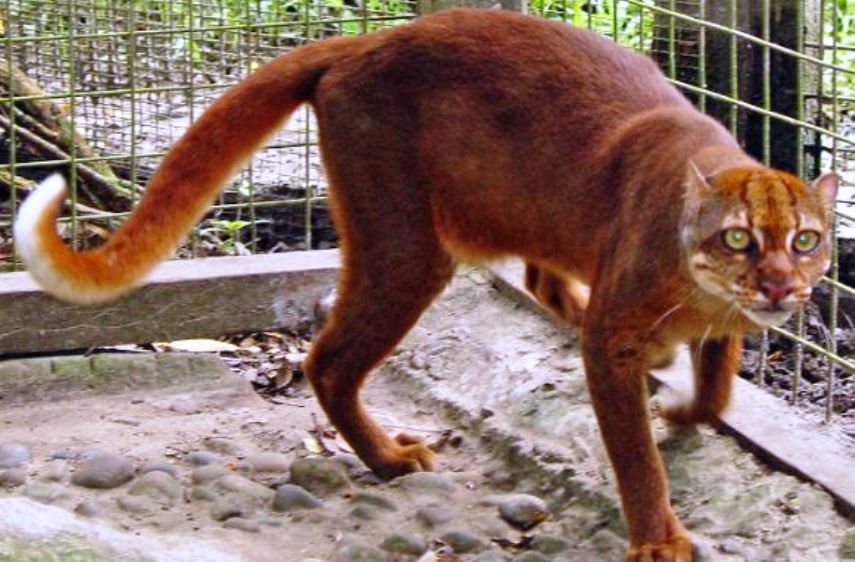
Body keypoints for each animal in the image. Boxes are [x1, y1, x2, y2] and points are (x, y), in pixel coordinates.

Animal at [16, 9, 840, 560]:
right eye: (737, 237)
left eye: (806, 241)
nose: (777, 287)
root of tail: (367, 40)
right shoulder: (615, 339)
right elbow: (635, 454)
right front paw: (658, 538)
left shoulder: (719, 320)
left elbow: (720, 381)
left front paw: (687, 405)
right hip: (408, 244)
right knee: (328, 359)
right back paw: (387, 457)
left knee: (534, 274)